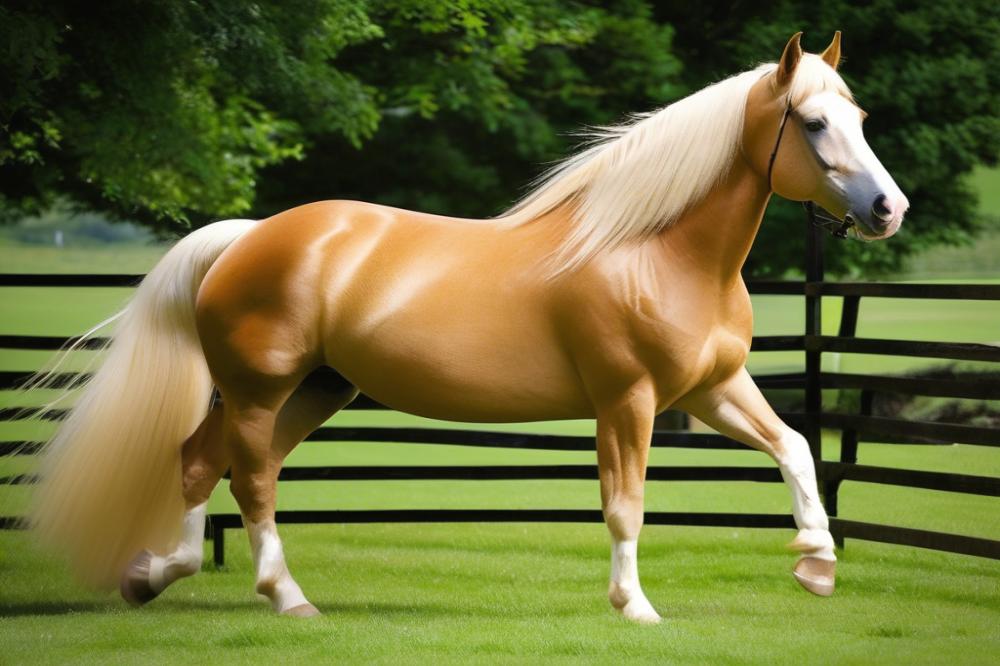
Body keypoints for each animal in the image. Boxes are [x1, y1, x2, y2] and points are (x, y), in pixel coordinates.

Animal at [29, 32, 908, 624]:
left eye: (860, 115)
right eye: (813, 124)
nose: (887, 209)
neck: (656, 251)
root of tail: (248, 237)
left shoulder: (713, 388)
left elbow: (795, 450)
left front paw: (817, 566)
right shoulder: (627, 400)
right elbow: (625, 505)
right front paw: (635, 607)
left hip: (313, 390)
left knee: (203, 463)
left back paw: (155, 575)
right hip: (257, 390)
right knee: (246, 479)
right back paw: (287, 598)